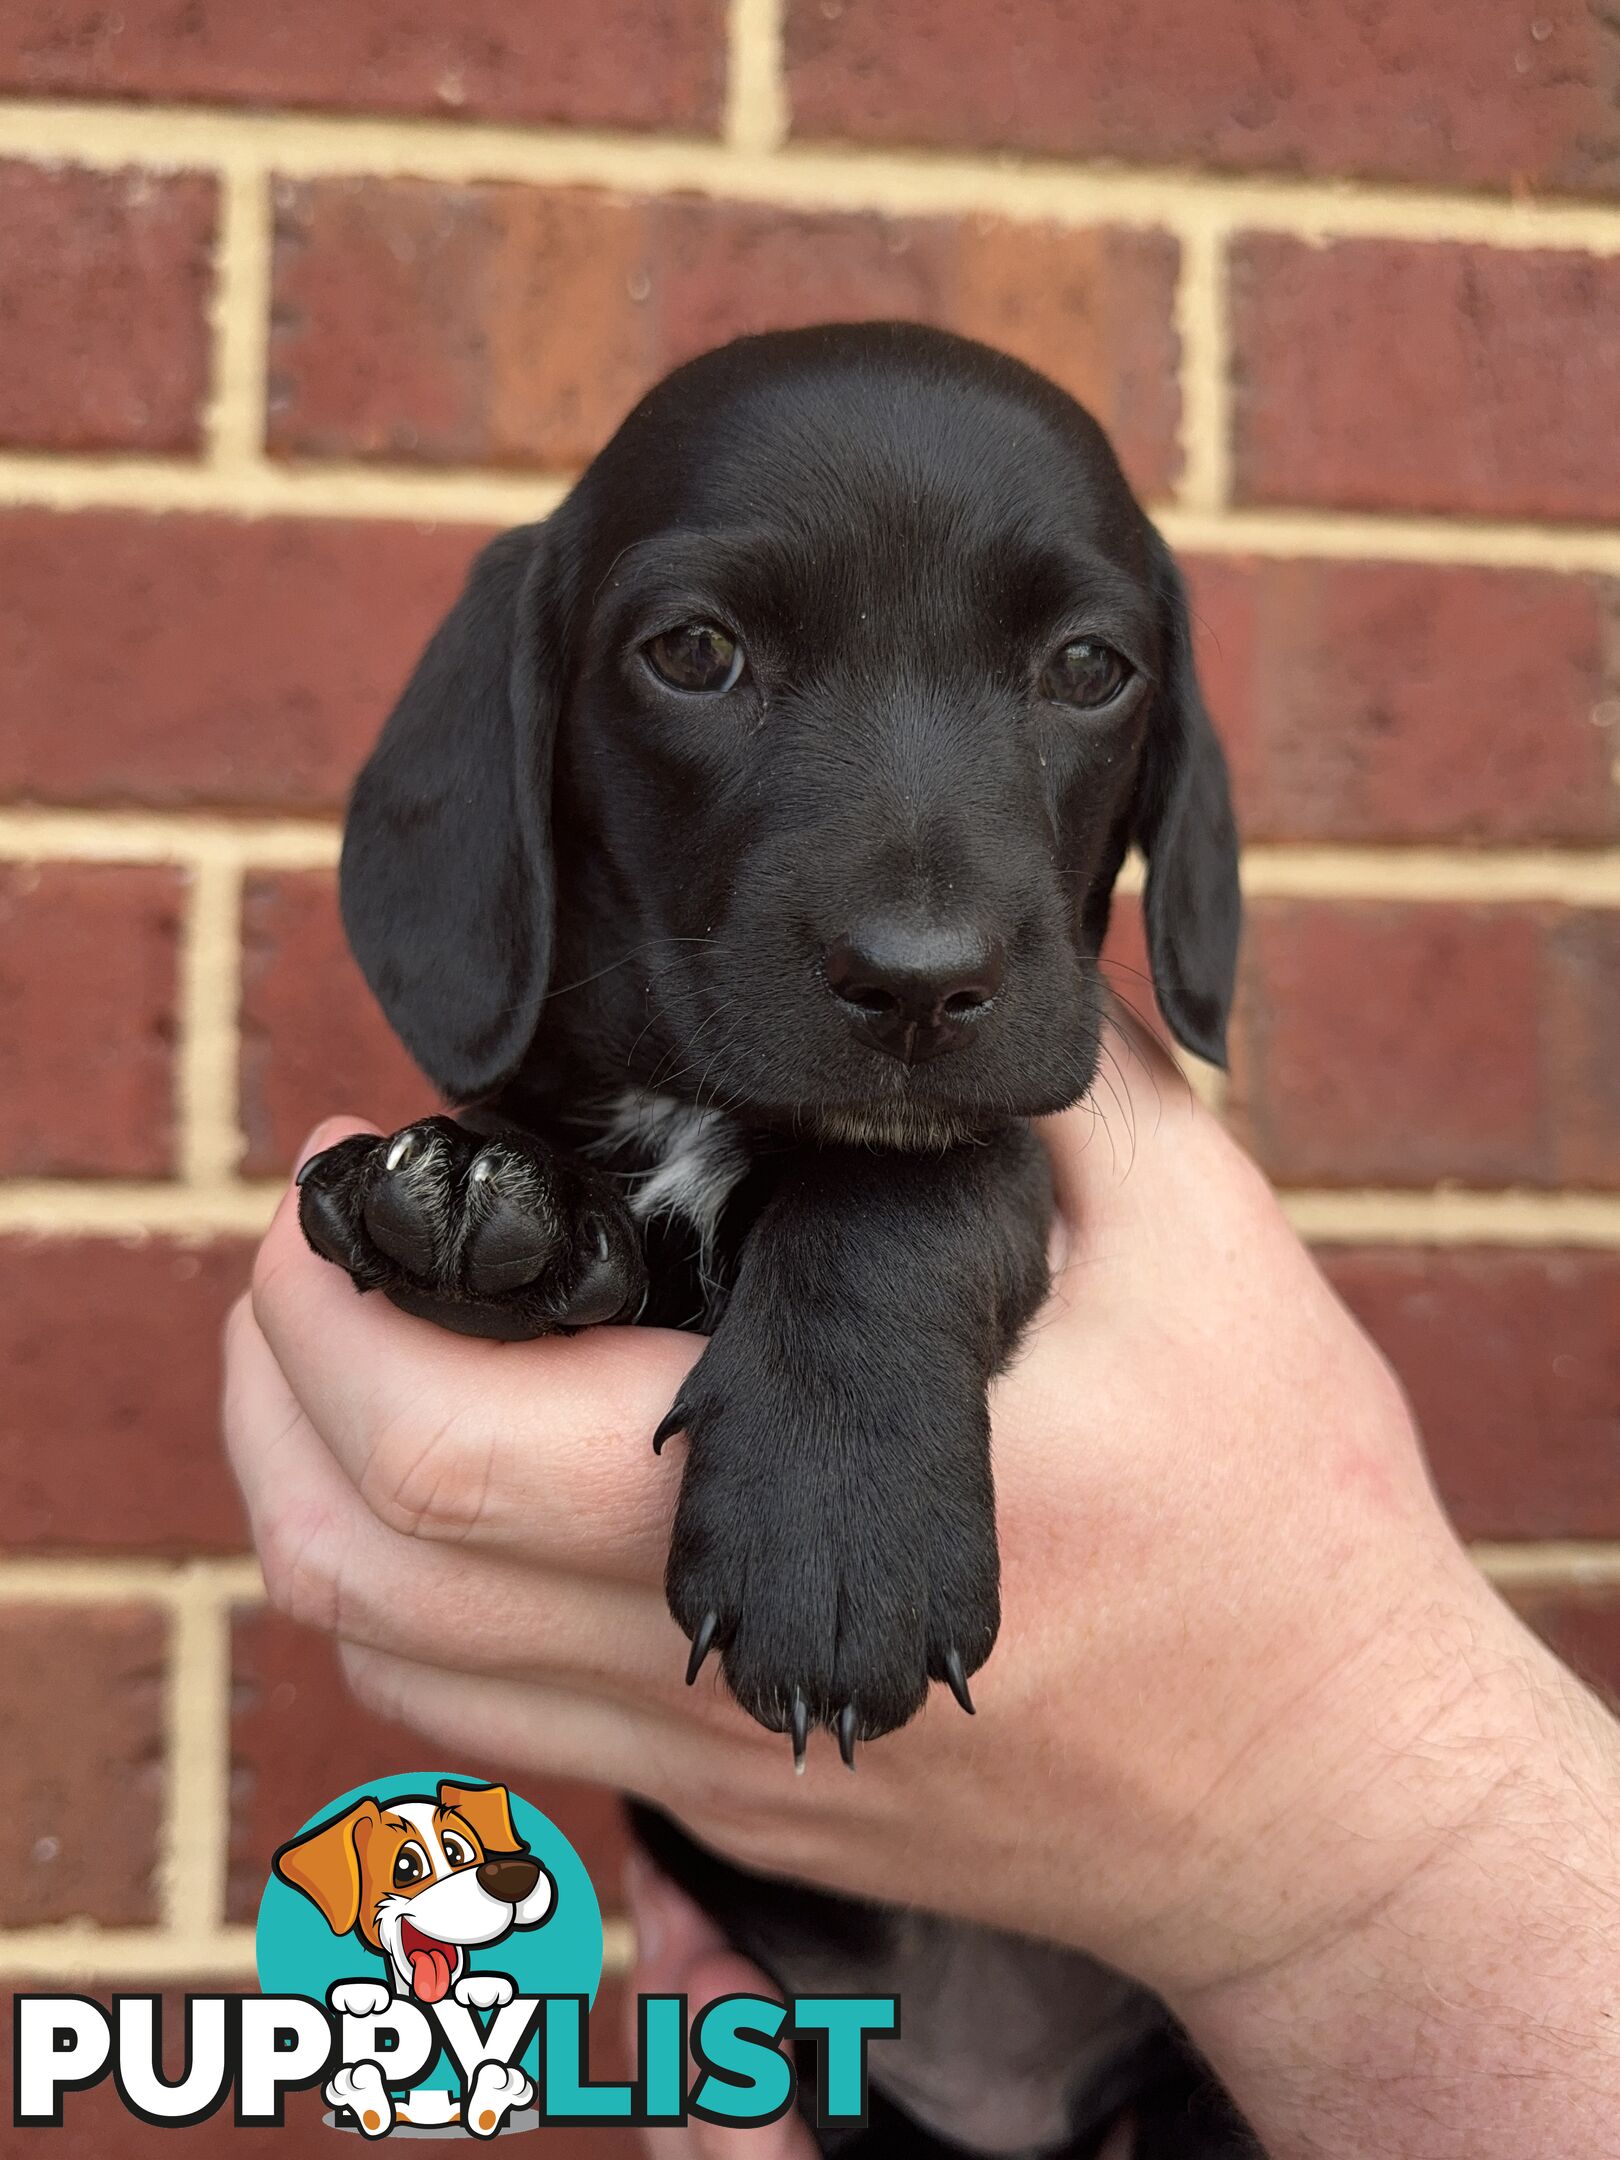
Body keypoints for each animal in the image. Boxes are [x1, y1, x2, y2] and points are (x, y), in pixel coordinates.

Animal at [302, 324, 1244, 2160]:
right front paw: (472, 1191)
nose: (919, 983)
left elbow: (902, 1193)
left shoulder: (998, 1137)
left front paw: (840, 1530)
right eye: (694, 653)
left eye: (1090, 667)